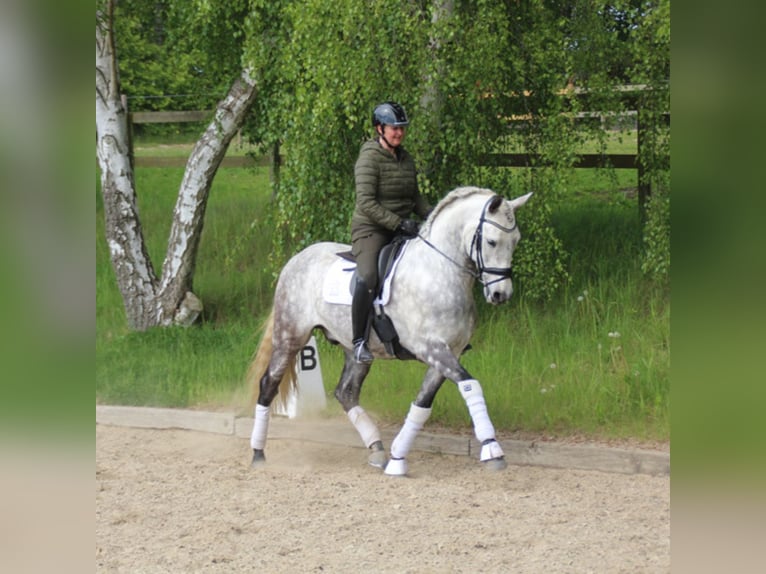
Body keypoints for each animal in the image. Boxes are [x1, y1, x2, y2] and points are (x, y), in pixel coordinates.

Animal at [248, 186, 532, 476]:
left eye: (516, 241)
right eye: (492, 242)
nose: (500, 294)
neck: (439, 271)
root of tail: (296, 259)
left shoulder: (449, 353)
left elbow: (422, 404)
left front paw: (397, 459)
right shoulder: (432, 349)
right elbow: (471, 385)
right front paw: (492, 449)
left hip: (354, 349)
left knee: (346, 392)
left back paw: (376, 448)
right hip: (290, 337)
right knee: (268, 384)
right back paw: (258, 453)